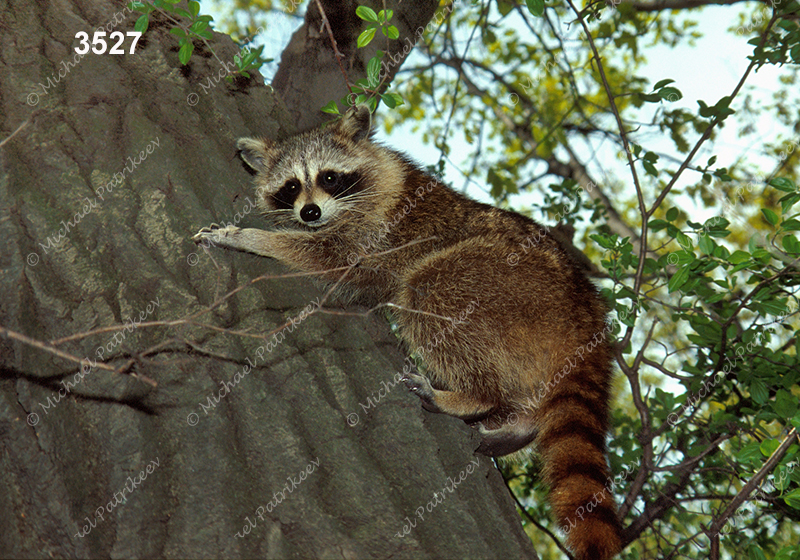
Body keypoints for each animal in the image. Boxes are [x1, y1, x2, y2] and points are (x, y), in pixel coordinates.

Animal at [194, 105, 624, 560]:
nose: (308, 213)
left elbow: (329, 257)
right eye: (291, 186)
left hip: (503, 278)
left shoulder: (373, 231)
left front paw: (248, 237)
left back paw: (474, 396)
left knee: (429, 285)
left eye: (329, 177)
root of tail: (587, 312)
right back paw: (518, 422)